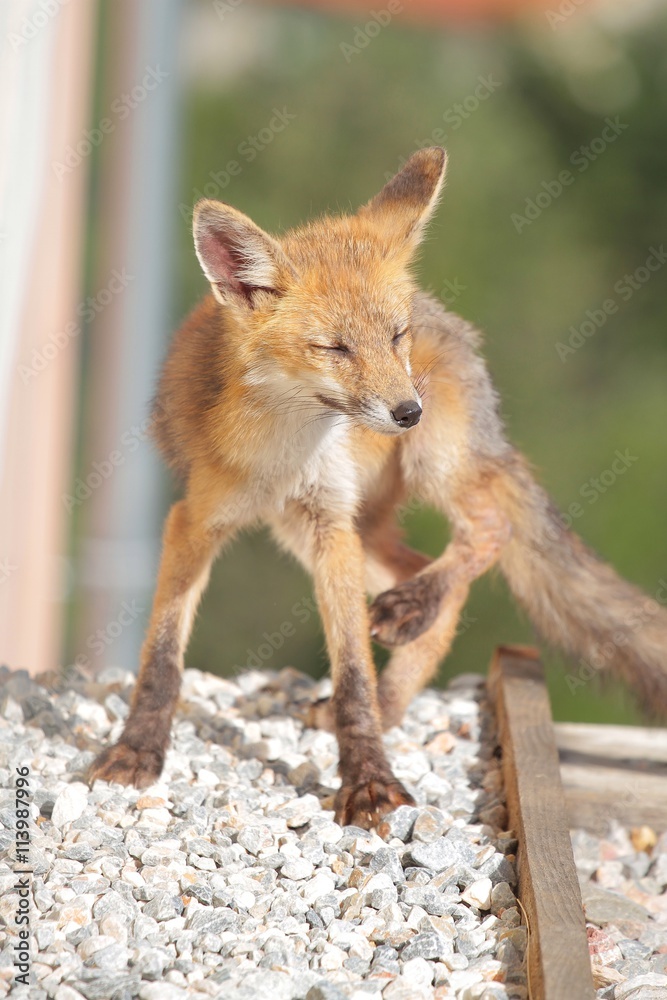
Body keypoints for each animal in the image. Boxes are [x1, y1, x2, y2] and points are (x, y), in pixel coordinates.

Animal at [90, 146, 667, 829]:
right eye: (335, 348)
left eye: (394, 336)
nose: (407, 410)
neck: (281, 454)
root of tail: (448, 320)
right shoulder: (197, 520)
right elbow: (161, 659)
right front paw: (137, 752)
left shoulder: (331, 529)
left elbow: (351, 678)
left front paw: (368, 780)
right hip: (318, 529)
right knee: (429, 575)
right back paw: (400, 680)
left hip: (428, 468)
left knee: (487, 530)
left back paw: (407, 625)